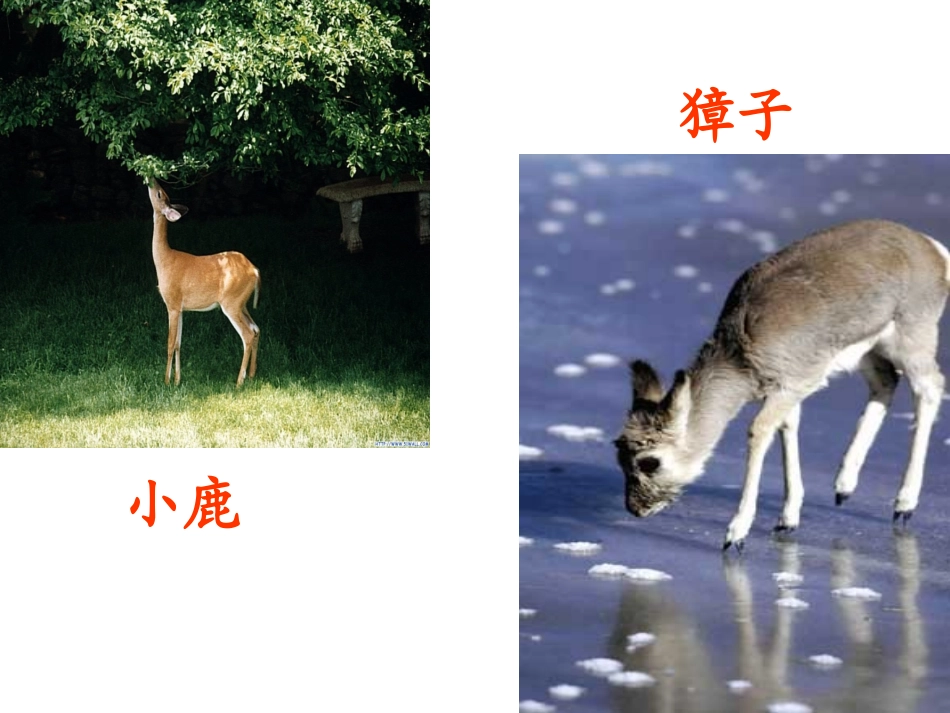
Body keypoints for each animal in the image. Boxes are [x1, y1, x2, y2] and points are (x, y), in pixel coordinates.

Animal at [147, 178, 261, 387]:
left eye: (159, 194)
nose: (152, 180)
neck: (165, 260)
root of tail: (254, 271)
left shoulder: (172, 303)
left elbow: (169, 343)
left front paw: (166, 381)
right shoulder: (181, 308)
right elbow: (178, 343)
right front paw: (177, 380)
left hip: (231, 303)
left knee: (248, 334)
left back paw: (239, 381)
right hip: (242, 304)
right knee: (256, 329)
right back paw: (251, 375)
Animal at [614, 219, 950, 552]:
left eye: (650, 462)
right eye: (620, 458)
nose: (635, 509)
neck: (741, 350)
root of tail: (931, 247)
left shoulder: (792, 386)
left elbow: (759, 430)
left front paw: (736, 533)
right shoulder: (788, 392)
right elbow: (787, 427)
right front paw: (787, 519)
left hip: (912, 340)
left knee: (930, 387)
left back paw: (904, 504)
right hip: (867, 351)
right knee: (886, 382)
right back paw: (844, 486)